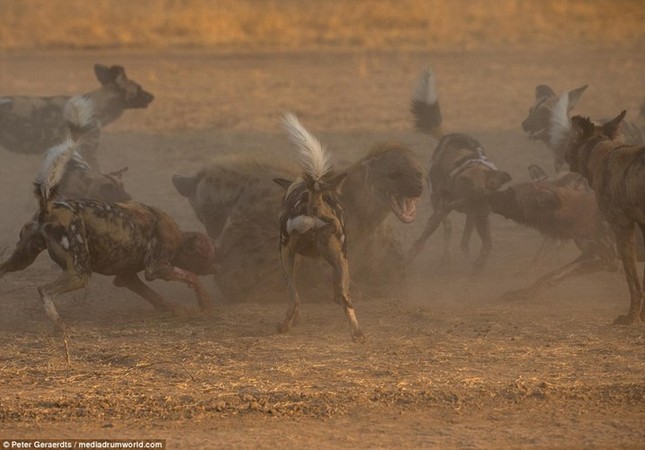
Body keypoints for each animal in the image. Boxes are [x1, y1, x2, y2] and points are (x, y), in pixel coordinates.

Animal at [270, 114, 362, 342]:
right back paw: (358, 334)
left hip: (285, 257)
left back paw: (283, 326)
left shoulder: (290, 255)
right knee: (345, 299)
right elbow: (340, 293)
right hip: (342, 260)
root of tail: (314, 203)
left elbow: (295, 300)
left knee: (294, 299)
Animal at [406, 66, 510, 270]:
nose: (484, 209)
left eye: (489, 192)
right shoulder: (445, 210)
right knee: (448, 229)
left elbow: (486, 244)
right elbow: (420, 242)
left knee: (463, 240)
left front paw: (478, 264)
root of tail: (448, 136)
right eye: (473, 191)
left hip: (464, 215)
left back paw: (464, 257)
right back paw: (446, 257)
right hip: (438, 203)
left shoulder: (479, 216)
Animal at [488, 163, 612, 300]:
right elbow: (545, 267)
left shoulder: (602, 258)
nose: (488, 195)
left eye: (510, 193)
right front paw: (524, 287)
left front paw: (525, 293)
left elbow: (555, 274)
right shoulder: (588, 252)